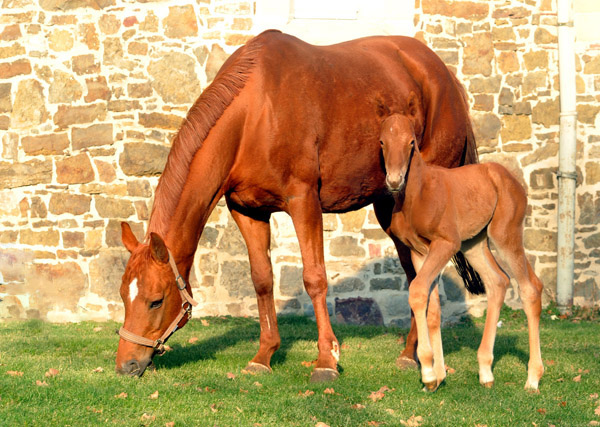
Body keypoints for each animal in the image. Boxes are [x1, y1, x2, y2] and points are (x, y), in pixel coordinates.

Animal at [116, 30, 478, 380]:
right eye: (122, 295)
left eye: (156, 301)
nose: (126, 365)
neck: (256, 114)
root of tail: (446, 78)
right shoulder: (248, 211)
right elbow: (262, 279)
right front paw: (263, 356)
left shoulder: (304, 201)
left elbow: (314, 278)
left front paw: (326, 361)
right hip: (389, 208)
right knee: (414, 272)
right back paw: (409, 354)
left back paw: (415, 357)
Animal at [382, 113, 548, 392]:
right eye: (382, 142)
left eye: (411, 142)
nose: (394, 181)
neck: (417, 195)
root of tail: (511, 179)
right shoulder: (419, 251)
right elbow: (433, 308)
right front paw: (438, 376)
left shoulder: (445, 244)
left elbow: (417, 291)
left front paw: (428, 372)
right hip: (474, 244)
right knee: (498, 281)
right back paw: (486, 371)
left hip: (505, 235)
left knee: (530, 288)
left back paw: (533, 378)